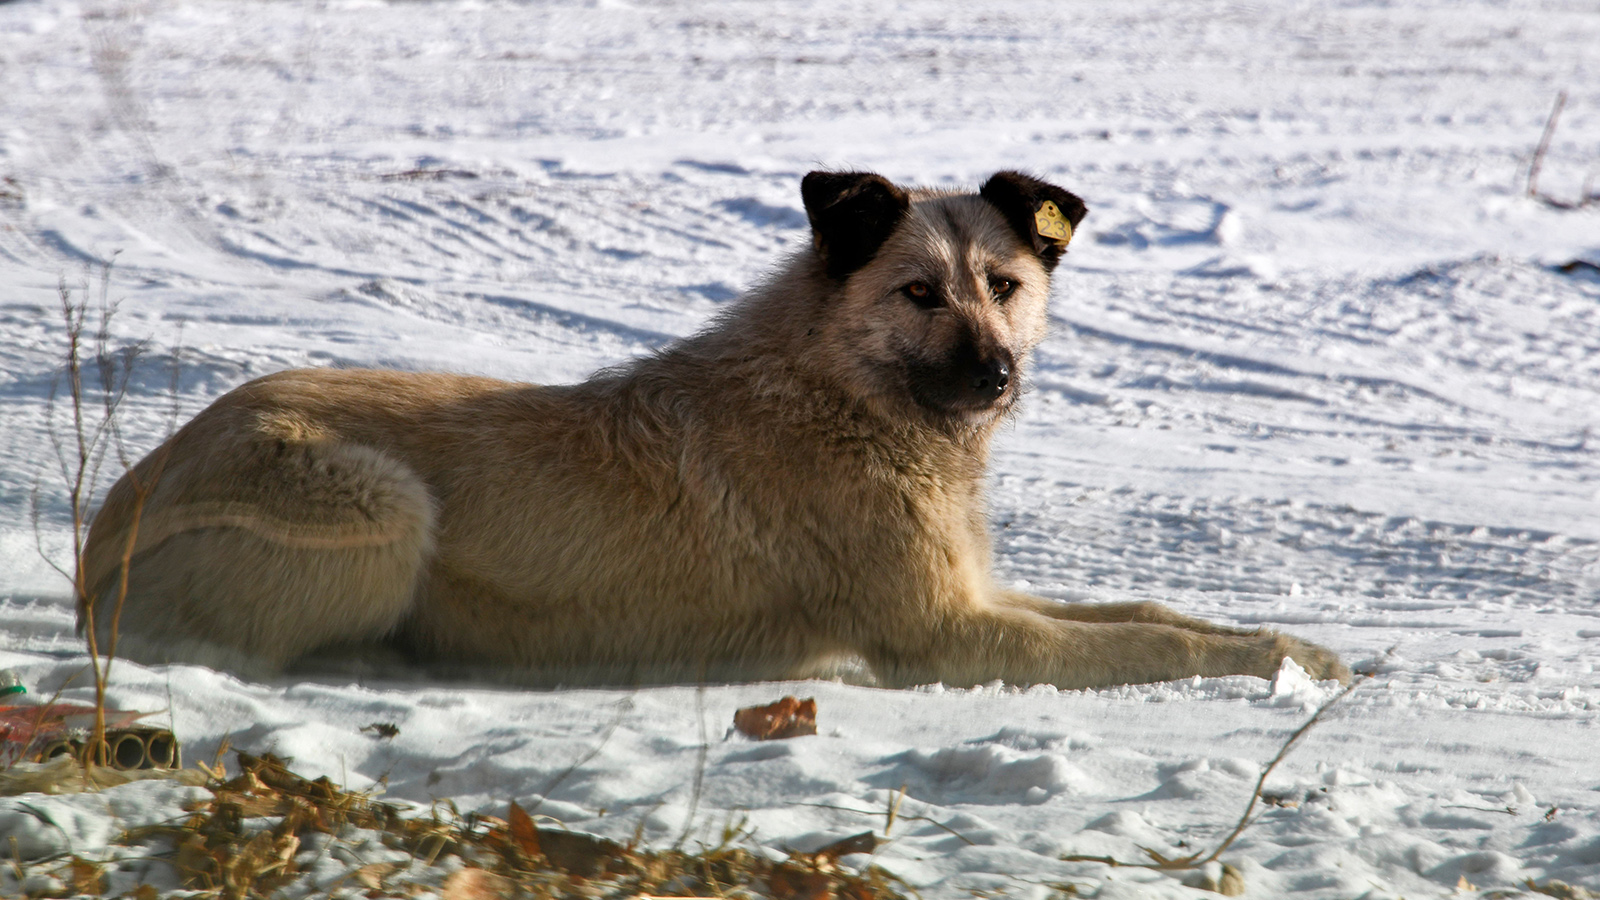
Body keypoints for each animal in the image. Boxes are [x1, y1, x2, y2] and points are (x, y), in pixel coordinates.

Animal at [78, 169, 1350, 685]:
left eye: (1005, 285)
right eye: (916, 292)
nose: (995, 377)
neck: (843, 395)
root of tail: (111, 520)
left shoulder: (977, 594)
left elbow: (1154, 613)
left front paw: (1300, 650)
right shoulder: (946, 636)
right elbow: (1159, 646)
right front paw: (1268, 662)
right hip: (384, 506)